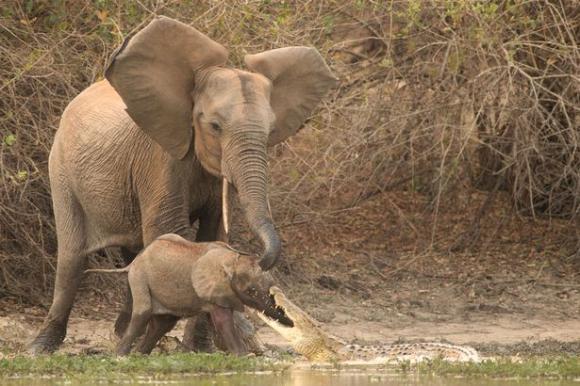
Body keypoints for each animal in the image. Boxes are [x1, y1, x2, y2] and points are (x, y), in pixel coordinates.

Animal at [86, 232, 292, 356]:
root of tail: (135, 260)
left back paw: (140, 354)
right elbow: (223, 320)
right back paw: (121, 356)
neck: (232, 259)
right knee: (143, 315)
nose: (291, 323)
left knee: (163, 324)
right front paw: (244, 356)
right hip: (139, 278)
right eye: (251, 291)